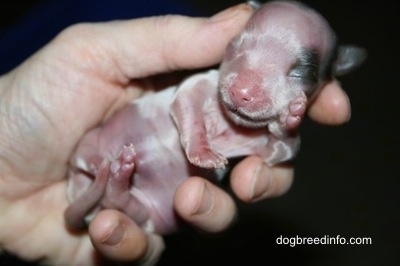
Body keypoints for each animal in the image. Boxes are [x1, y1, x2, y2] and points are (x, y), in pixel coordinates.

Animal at [65, 1, 366, 234]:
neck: (229, 123)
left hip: (145, 217)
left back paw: (120, 174)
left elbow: (281, 150)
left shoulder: (262, 148)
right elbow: (188, 105)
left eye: (301, 72)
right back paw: (101, 162)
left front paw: (290, 118)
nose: (241, 91)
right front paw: (204, 153)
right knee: (86, 155)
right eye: (234, 46)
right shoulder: (198, 84)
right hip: (89, 141)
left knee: (122, 203)